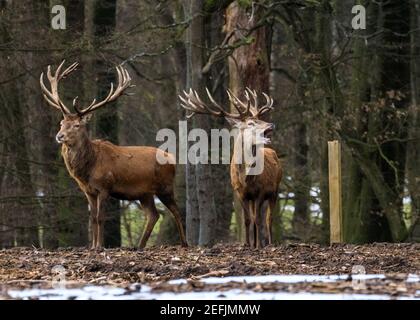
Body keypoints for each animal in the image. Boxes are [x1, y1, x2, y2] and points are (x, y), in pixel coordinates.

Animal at [39, 61, 187, 249]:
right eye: (61, 123)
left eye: (77, 125)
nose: (59, 136)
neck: (87, 169)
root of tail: (173, 159)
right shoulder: (88, 191)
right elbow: (92, 219)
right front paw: (93, 246)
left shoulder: (105, 186)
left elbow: (100, 217)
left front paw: (100, 246)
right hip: (144, 193)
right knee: (153, 215)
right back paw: (139, 246)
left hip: (165, 186)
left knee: (176, 211)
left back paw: (184, 243)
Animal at [178, 89, 282, 249]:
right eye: (251, 123)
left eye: (260, 119)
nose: (271, 124)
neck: (246, 178)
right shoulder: (240, 192)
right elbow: (247, 220)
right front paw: (247, 244)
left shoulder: (260, 191)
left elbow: (258, 219)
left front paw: (258, 245)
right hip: (255, 197)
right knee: (256, 218)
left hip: (275, 190)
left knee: (268, 218)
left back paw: (269, 243)